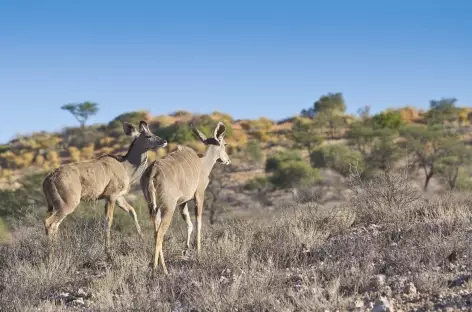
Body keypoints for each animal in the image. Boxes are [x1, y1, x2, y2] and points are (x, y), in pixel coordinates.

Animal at [42, 120, 168, 252]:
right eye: (148, 136)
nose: (164, 141)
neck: (126, 167)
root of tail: (48, 180)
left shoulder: (118, 198)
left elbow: (132, 211)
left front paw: (142, 238)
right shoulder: (111, 196)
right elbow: (109, 220)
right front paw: (108, 249)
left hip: (56, 206)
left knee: (54, 225)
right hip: (67, 204)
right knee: (49, 223)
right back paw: (52, 252)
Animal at [141, 121, 231, 272]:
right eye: (224, 144)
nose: (228, 160)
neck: (203, 163)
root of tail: (153, 171)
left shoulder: (182, 202)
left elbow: (189, 223)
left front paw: (186, 250)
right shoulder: (199, 194)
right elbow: (198, 223)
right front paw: (199, 255)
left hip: (153, 207)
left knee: (155, 232)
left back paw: (162, 267)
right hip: (168, 207)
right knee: (160, 233)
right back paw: (158, 270)